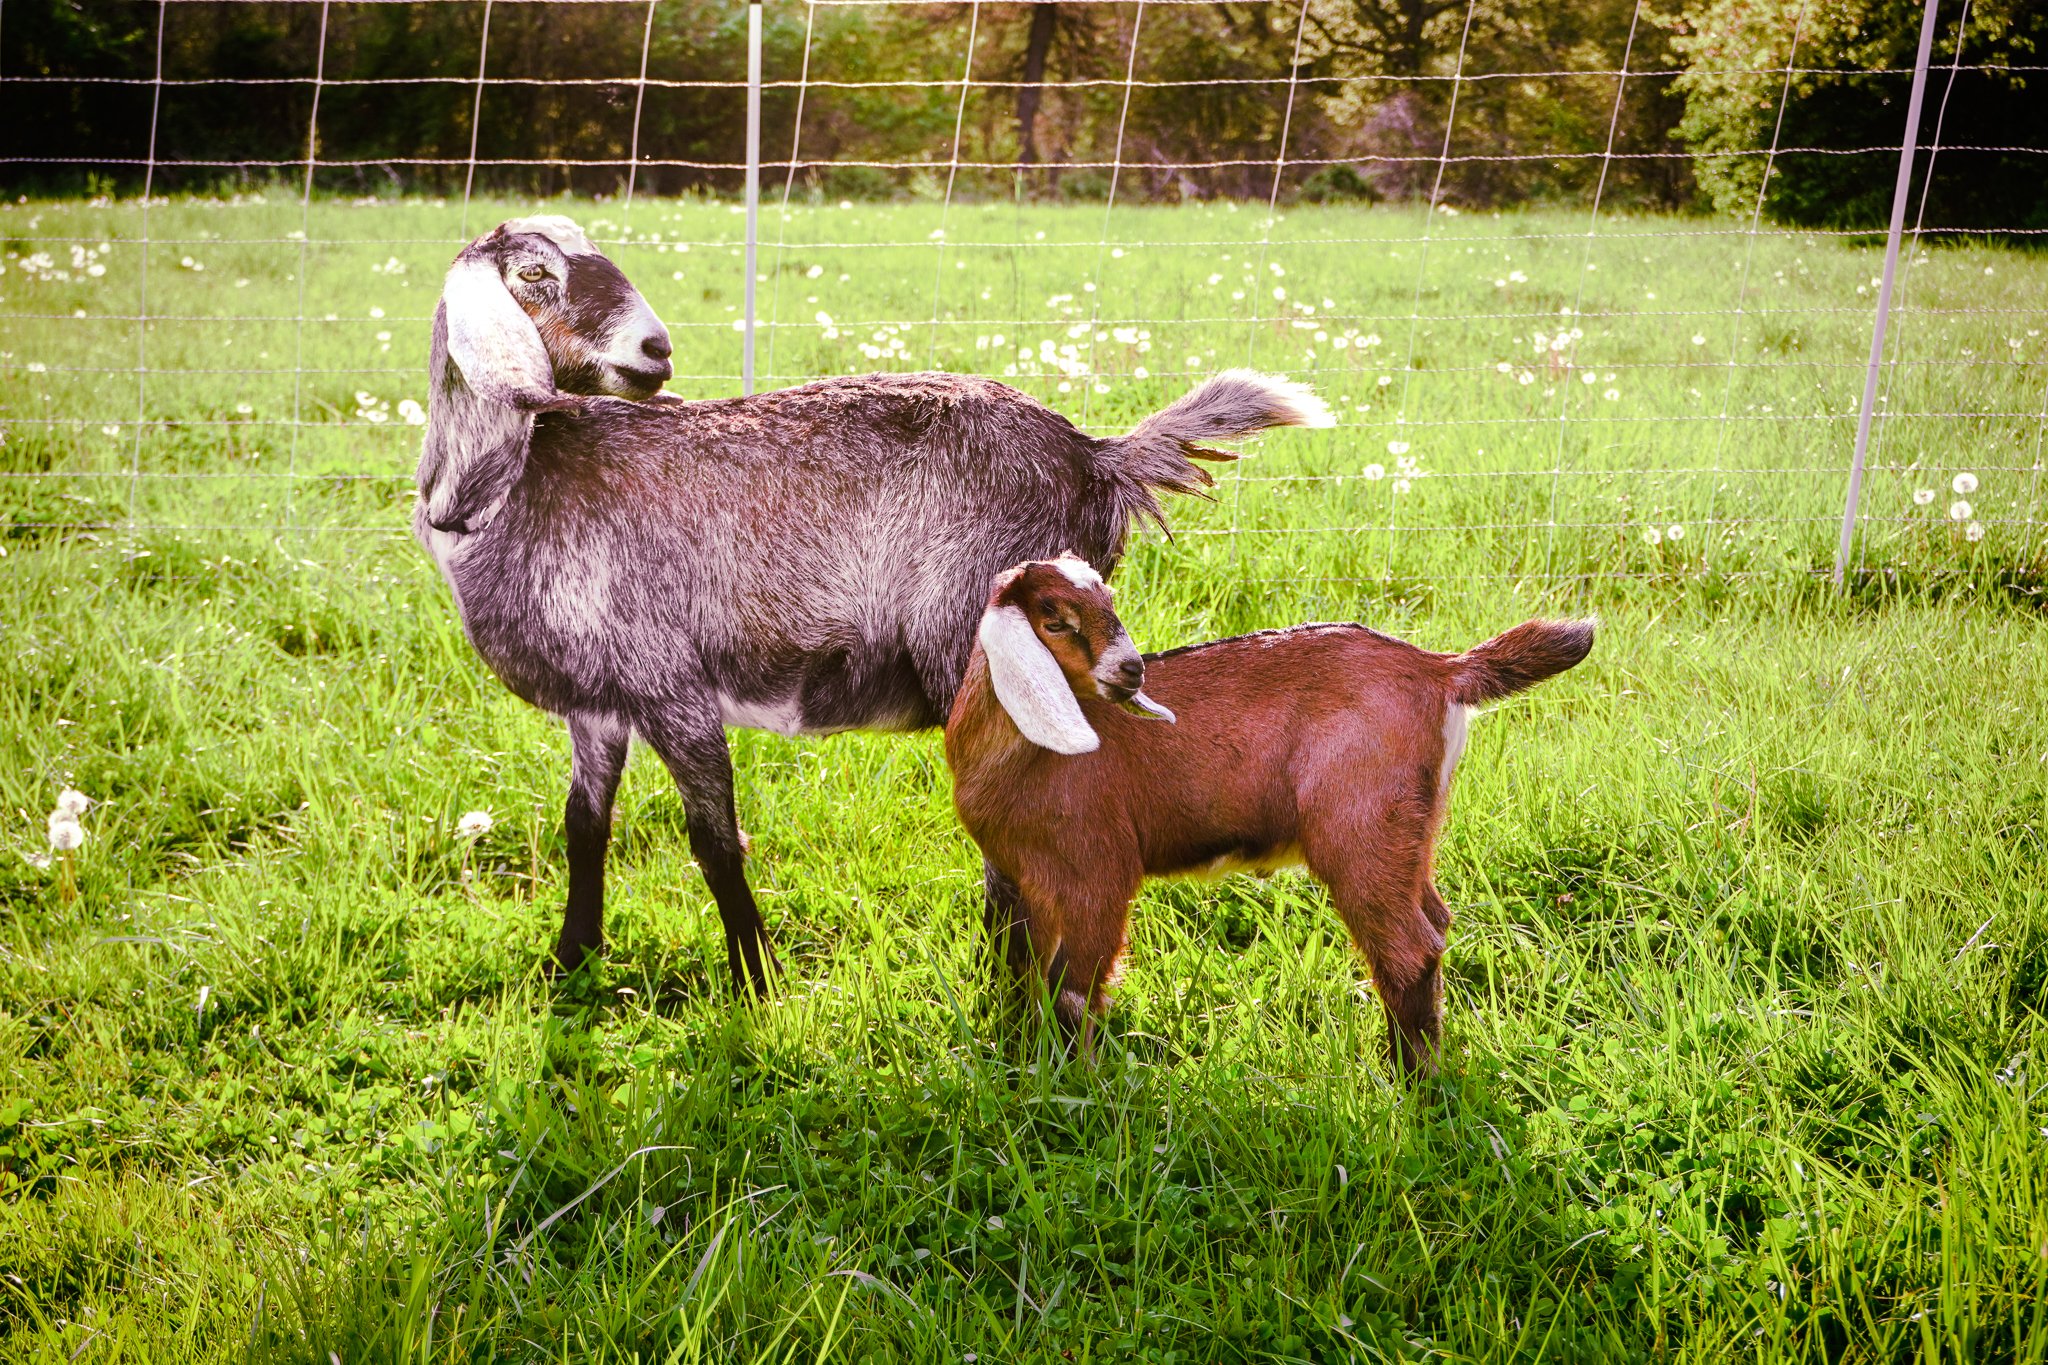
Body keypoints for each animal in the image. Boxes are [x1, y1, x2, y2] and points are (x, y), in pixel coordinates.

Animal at [415, 216, 1332, 993]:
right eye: (535, 273)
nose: (657, 347)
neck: (515, 486)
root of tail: (1097, 456)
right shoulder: (598, 702)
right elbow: (584, 826)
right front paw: (570, 964)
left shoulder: (673, 683)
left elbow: (713, 840)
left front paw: (757, 982)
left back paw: (1011, 985)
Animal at [943, 556, 1594, 1076]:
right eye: (1054, 619)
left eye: (1108, 601)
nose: (1132, 670)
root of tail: (1440, 669)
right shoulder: (1021, 878)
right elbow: (1019, 971)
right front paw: (1023, 1062)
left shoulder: (1096, 873)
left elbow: (1071, 991)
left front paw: (1076, 1088)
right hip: (1409, 830)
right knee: (1433, 923)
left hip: (1360, 827)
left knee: (1408, 948)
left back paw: (1413, 1087)